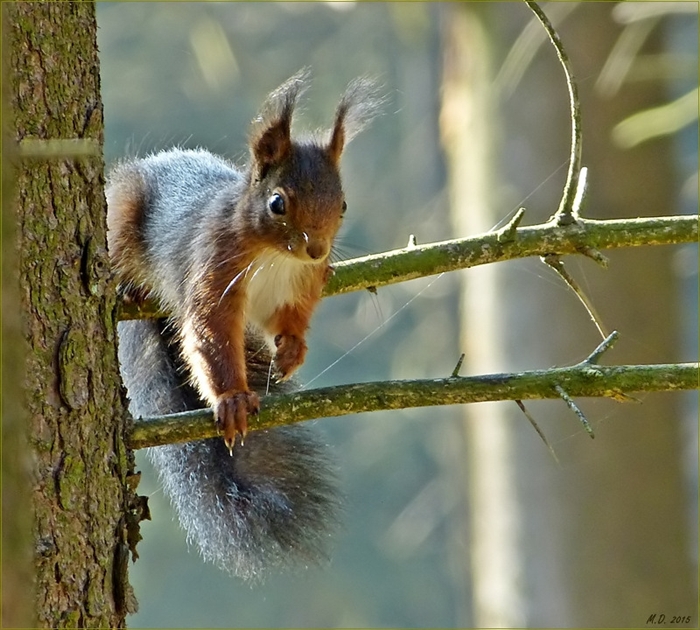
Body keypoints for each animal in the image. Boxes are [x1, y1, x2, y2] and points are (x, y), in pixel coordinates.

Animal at [106, 71, 380, 580]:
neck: (276, 257)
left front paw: (291, 350)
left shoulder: (295, 289)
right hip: (121, 221)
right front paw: (232, 399)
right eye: (277, 203)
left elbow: (287, 321)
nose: (317, 250)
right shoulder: (213, 271)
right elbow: (210, 333)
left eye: (343, 203)